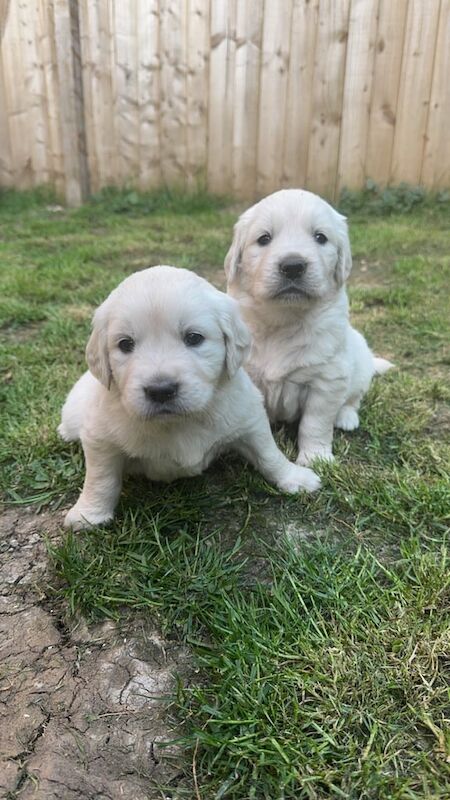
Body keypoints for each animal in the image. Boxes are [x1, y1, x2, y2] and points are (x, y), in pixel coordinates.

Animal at [59, 265, 320, 530]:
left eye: (194, 338)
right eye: (125, 344)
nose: (161, 390)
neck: (178, 421)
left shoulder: (249, 417)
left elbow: (268, 454)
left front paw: (294, 477)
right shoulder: (99, 438)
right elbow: (101, 479)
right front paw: (88, 514)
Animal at [225, 189, 393, 466]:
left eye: (320, 237)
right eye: (264, 238)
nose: (293, 266)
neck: (284, 320)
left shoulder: (327, 381)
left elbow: (315, 424)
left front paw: (315, 458)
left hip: (359, 365)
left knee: (354, 398)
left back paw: (346, 417)